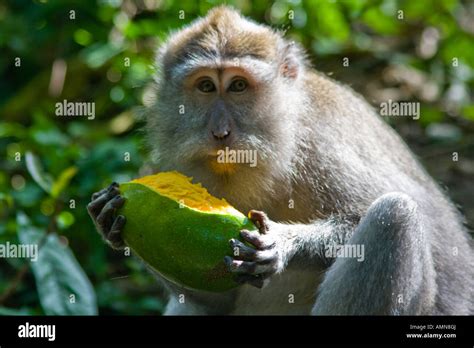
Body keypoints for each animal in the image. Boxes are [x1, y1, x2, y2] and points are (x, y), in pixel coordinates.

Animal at [88, 5, 474, 316]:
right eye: (206, 87)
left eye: (239, 86)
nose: (220, 132)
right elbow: (214, 294)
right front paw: (109, 220)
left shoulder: (322, 144)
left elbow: (377, 214)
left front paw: (284, 243)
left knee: (395, 217)